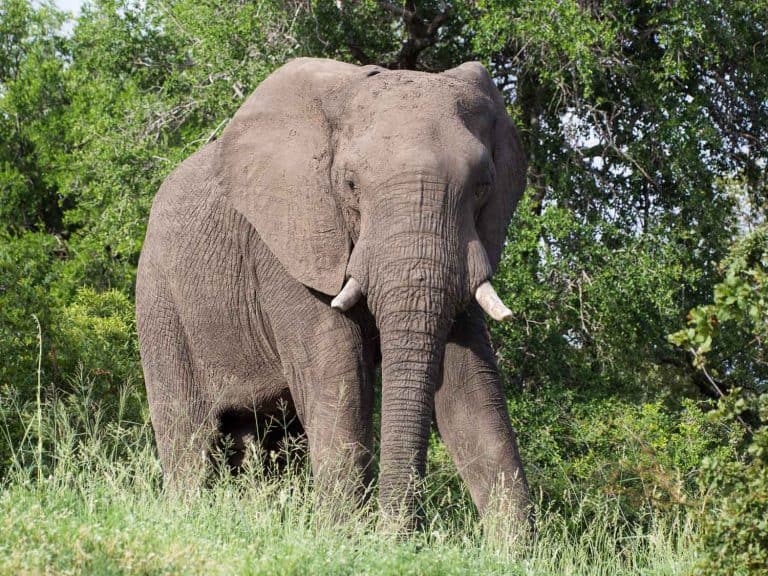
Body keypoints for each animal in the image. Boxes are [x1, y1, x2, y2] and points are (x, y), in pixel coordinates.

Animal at [135, 58, 532, 528]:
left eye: (483, 186)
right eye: (350, 185)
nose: (397, 534)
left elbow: (472, 392)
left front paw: (519, 545)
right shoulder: (288, 245)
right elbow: (338, 377)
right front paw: (345, 535)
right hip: (160, 299)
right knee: (188, 435)